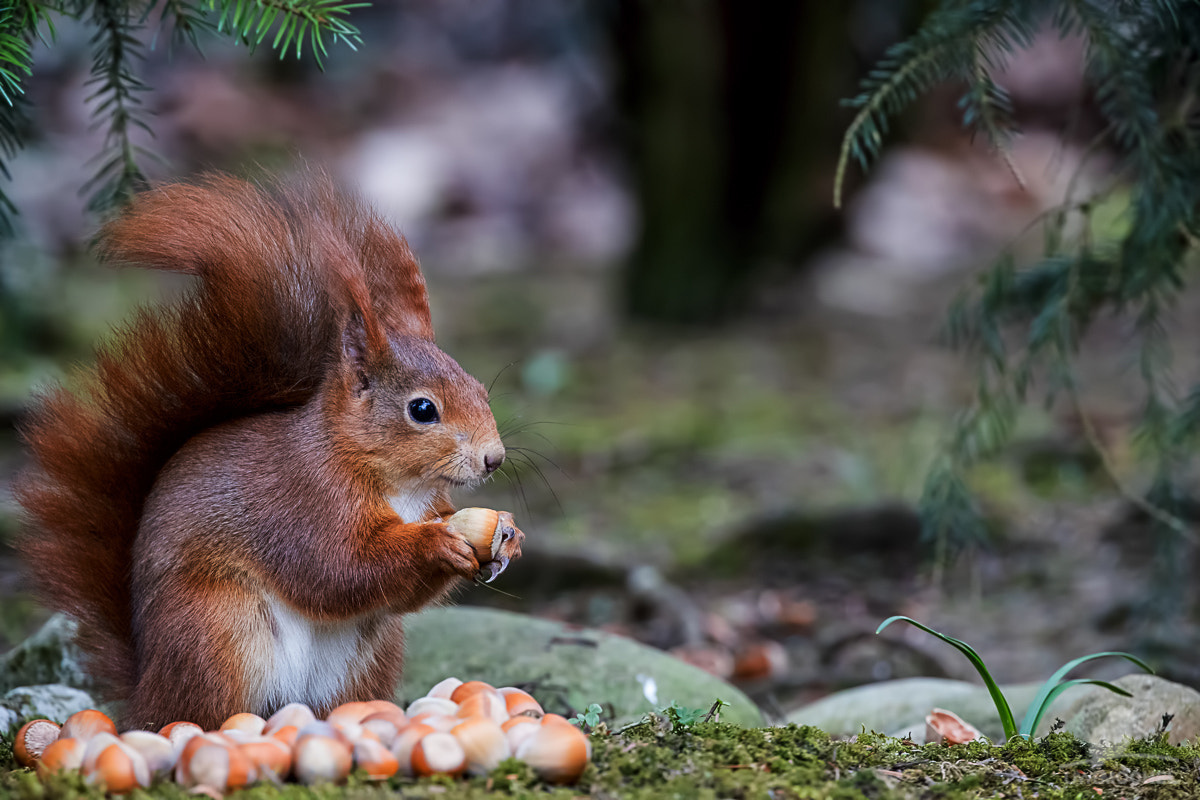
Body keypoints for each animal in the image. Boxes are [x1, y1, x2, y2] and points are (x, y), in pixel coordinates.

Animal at [12, 173, 520, 734]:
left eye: (480, 388)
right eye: (423, 409)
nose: (494, 459)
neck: (396, 482)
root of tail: (144, 692)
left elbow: (392, 592)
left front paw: (508, 537)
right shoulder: (304, 504)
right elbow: (338, 569)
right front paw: (437, 543)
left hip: (368, 655)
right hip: (215, 633)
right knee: (196, 713)